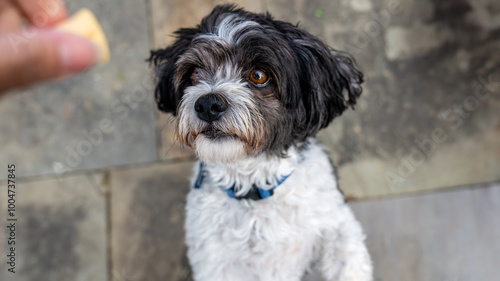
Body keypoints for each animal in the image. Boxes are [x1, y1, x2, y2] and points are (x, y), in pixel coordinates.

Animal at [148, 4, 372, 280]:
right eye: (194, 72)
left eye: (258, 75)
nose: (207, 104)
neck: (254, 189)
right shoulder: (214, 263)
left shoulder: (336, 222)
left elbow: (348, 258)